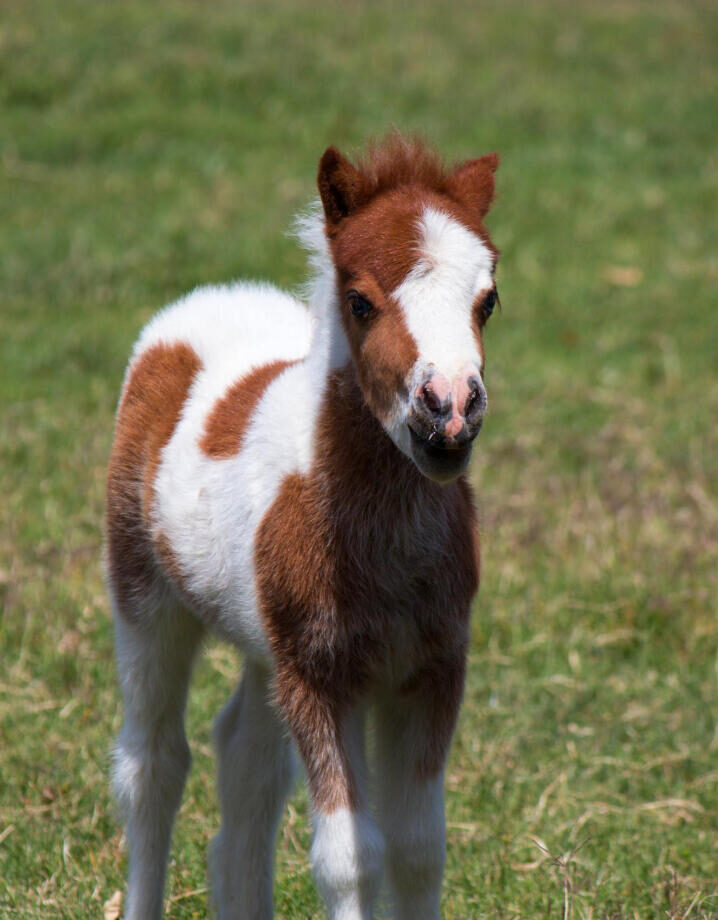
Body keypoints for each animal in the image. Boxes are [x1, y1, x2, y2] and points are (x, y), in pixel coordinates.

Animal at [106, 134, 500, 920]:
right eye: (360, 301)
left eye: (489, 301)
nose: (448, 414)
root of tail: (215, 297)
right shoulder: (323, 680)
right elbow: (350, 858)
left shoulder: (431, 668)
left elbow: (418, 847)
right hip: (145, 600)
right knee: (152, 766)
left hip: (268, 650)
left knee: (244, 763)